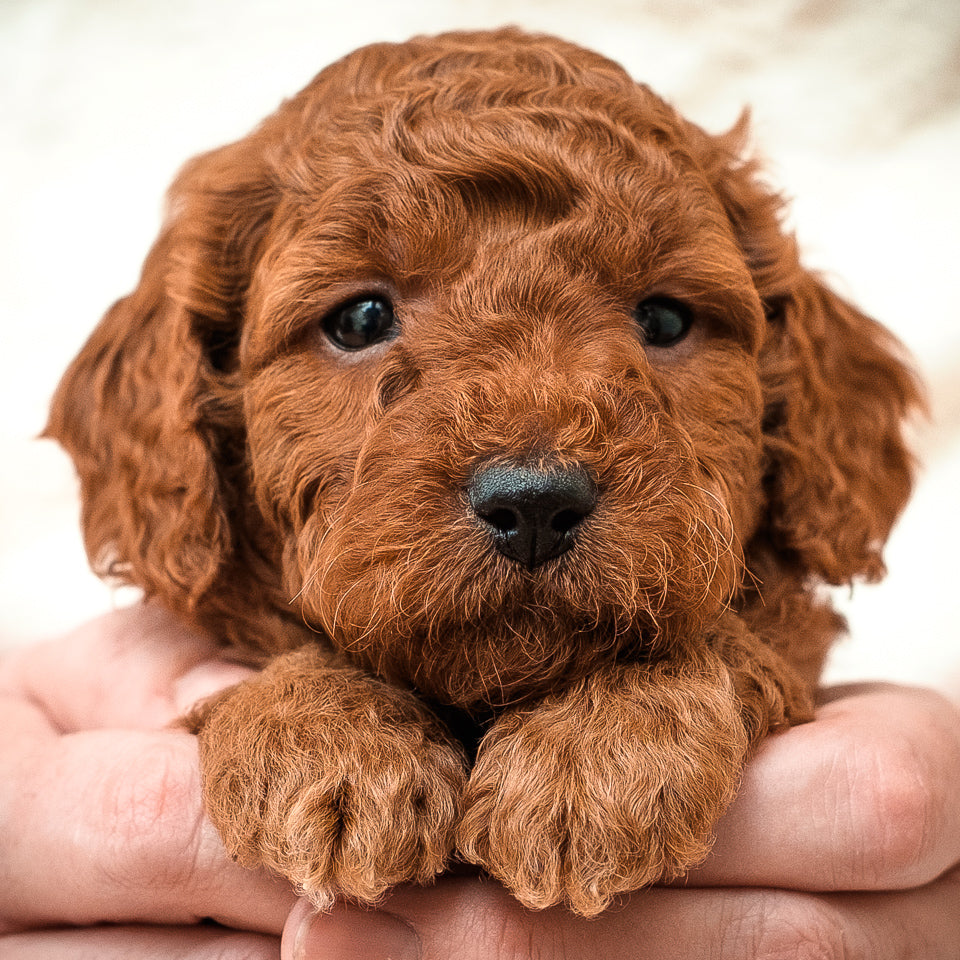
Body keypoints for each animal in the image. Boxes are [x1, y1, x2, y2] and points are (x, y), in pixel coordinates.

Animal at [48, 28, 920, 916]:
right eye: (359, 318)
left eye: (666, 318)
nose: (534, 503)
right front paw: (329, 743)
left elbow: (713, 634)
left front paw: (595, 754)